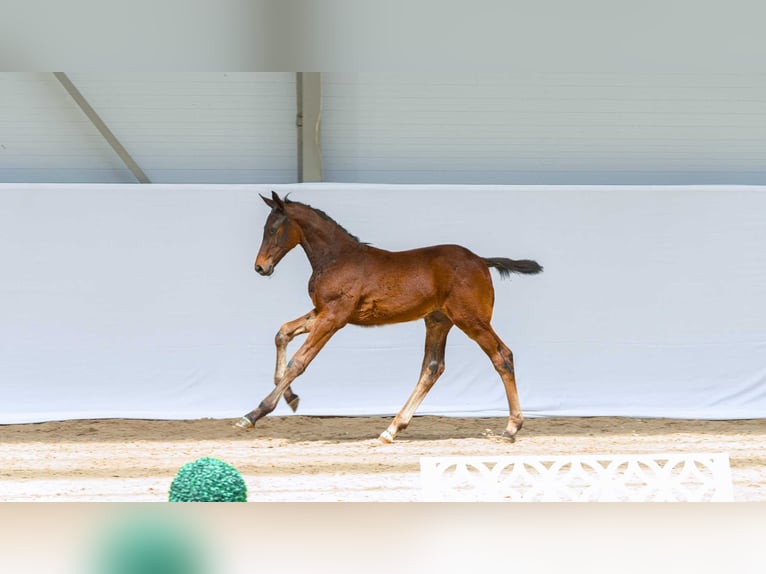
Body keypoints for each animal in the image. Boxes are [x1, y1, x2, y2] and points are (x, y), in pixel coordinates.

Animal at [236, 191, 543, 442]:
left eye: (274, 228)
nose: (260, 267)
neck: (337, 258)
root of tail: (481, 261)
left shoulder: (333, 317)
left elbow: (299, 362)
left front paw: (254, 413)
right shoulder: (324, 312)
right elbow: (283, 332)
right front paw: (291, 397)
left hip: (472, 320)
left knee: (502, 356)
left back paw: (511, 428)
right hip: (438, 321)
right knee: (432, 368)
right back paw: (392, 429)